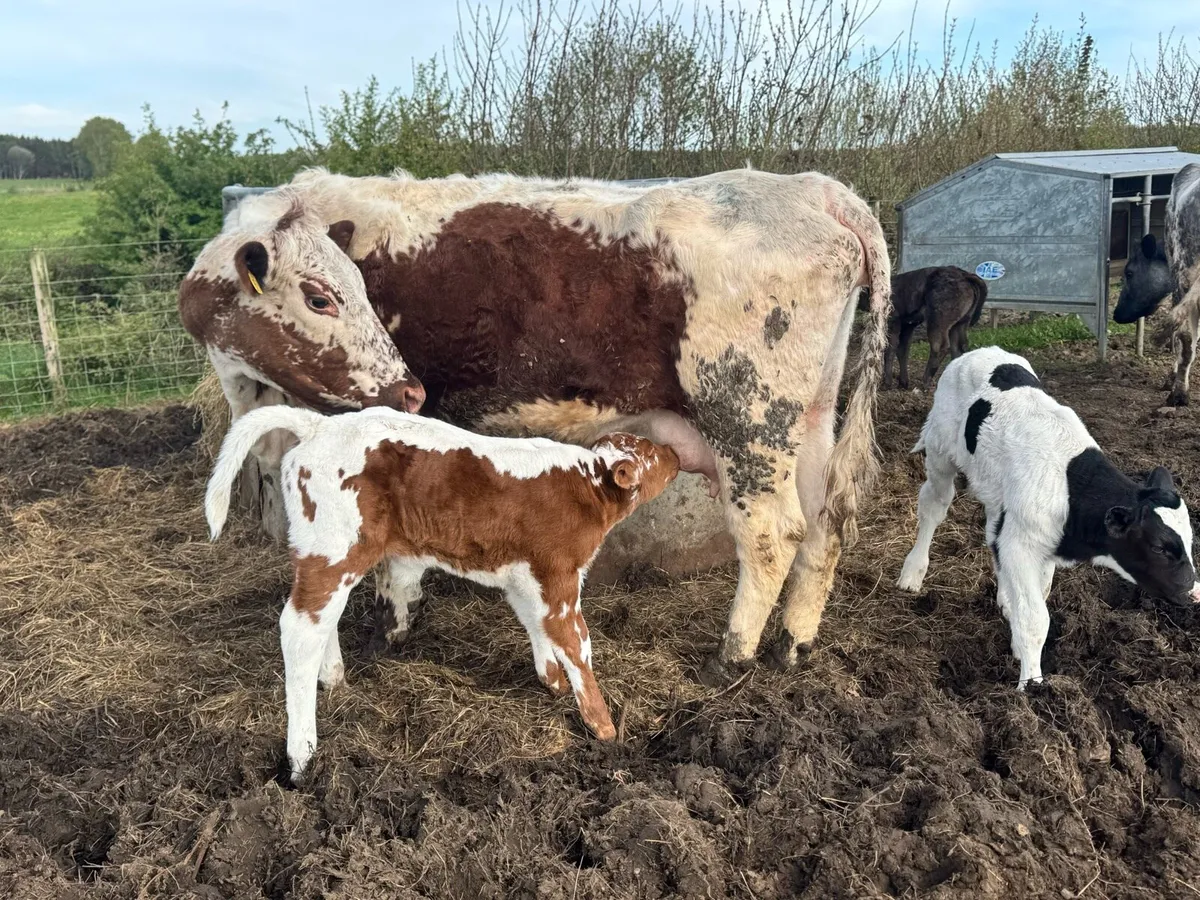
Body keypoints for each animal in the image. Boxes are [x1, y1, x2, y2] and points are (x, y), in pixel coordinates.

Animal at [179, 167, 892, 682]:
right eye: (321, 295)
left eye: (346, 290)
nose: (409, 388)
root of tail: (812, 187)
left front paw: (389, 624)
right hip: (811, 418)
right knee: (824, 523)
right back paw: (792, 644)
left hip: (747, 417)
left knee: (771, 535)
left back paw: (733, 655)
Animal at [205, 404, 680, 782]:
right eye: (651, 453)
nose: (676, 455)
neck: (588, 483)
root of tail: (320, 425)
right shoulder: (560, 573)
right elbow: (576, 642)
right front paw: (604, 728)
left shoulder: (525, 577)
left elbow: (538, 627)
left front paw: (553, 682)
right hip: (334, 547)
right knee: (299, 629)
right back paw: (302, 756)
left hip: (325, 553)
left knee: (322, 621)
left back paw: (335, 680)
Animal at [859, 265, 988, 391]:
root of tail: (965, 275)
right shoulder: (908, 324)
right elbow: (903, 351)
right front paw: (903, 383)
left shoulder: (894, 321)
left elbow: (890, 350)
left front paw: (886, 384)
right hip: (961, 323)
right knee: (959, 347)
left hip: (937, 322)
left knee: (940, 347)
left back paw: (925, 381)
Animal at [898, 346, 1199, 687]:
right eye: (1159, 547)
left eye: (1190, 542)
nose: (1193, 591)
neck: (1072, 489)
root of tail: (981, 351)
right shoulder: (1022, 544)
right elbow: (1035, 619)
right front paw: (1031, 686)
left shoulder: (1036, 543)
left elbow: (1036, 596)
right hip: (940, 450)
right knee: (934, 505)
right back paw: (912, 574)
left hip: (996, 493)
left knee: (991, 533)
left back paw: (1003, 596)